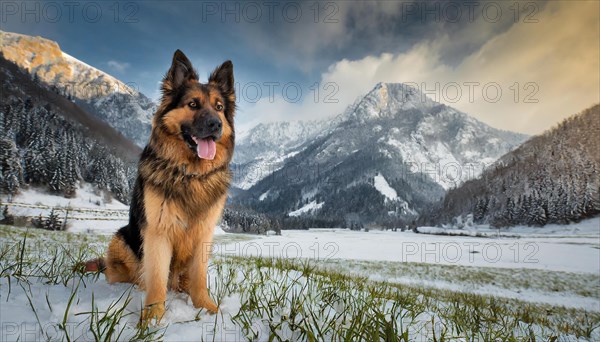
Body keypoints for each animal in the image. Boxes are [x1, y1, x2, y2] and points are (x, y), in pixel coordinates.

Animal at [86, 49, 237, 324]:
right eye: (193, 104)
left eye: (219, 107)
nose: (216, 125)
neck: (189, 174)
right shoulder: (158, 233)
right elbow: (156, 279)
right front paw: (152, 319)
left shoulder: (203, 235)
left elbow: (199, 278)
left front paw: (206, 308)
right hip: (121, 239)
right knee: (128, 275)